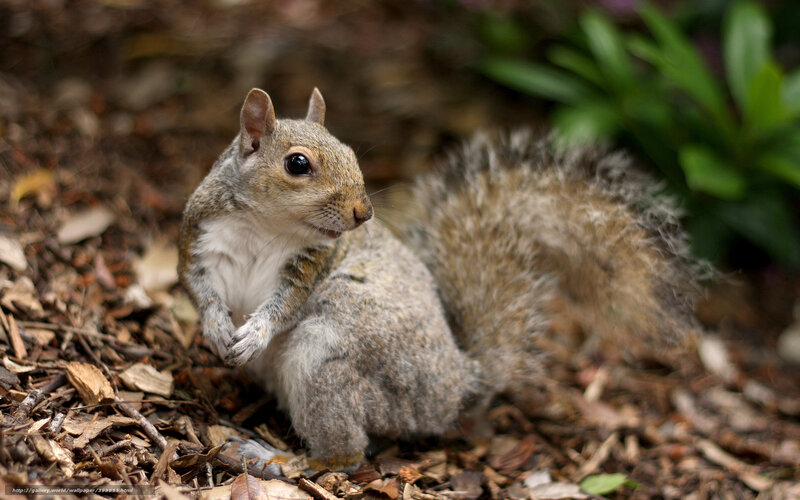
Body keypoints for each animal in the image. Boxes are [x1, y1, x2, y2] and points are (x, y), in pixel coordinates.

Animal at [178, 87, 703, 468]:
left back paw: (277, 459)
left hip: (326, 362)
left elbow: (283, 305)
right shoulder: (199, 241)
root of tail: (458, 384)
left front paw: (255, 332)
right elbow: (199, 290)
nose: (364, 213)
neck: (266, 227)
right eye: (297, 163)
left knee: (346, 456)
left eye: (352, 153)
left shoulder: (310, 265)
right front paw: (217, 327)